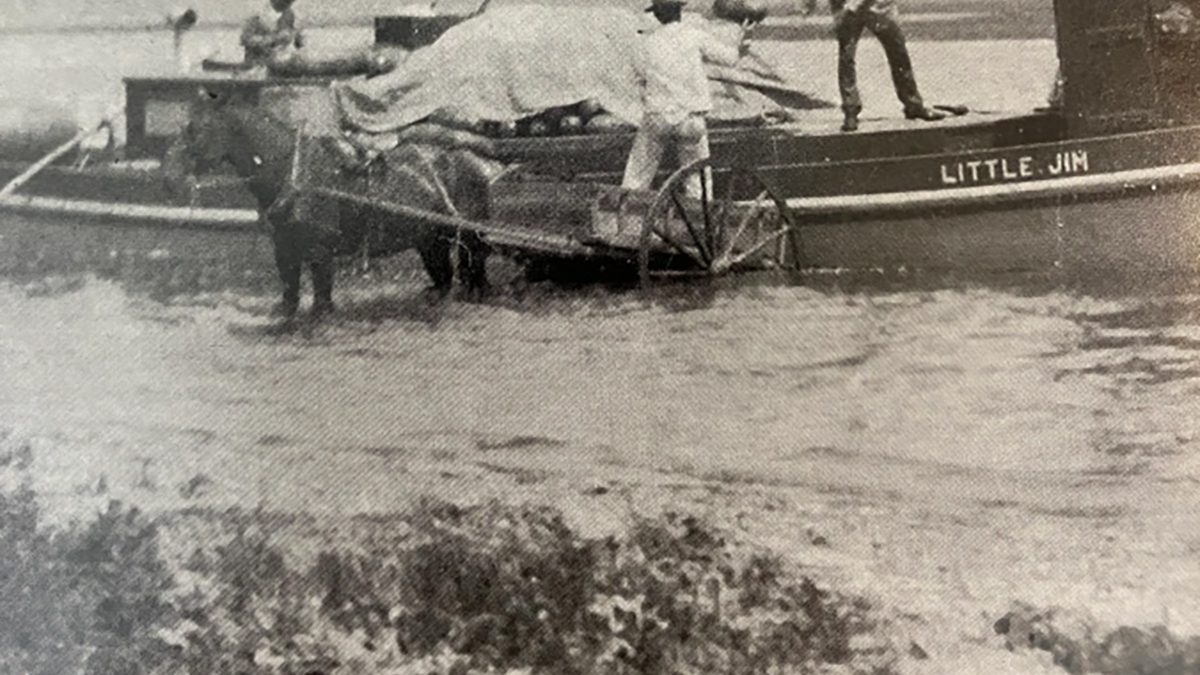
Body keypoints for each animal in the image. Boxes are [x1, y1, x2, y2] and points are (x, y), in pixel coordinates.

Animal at [171, 89, 499, 317]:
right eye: (186, 126)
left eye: (199, 128)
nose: (168, 175)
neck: (294, 171)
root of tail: (473, 159)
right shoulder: (284, 243)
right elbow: (289, 284)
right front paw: (286, 315)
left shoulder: (320, 246)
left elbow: (321, 287)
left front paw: (320, 317)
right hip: (431, 238)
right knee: (444, 274)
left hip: (468, 232)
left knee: (475, 261)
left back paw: (476, 295)